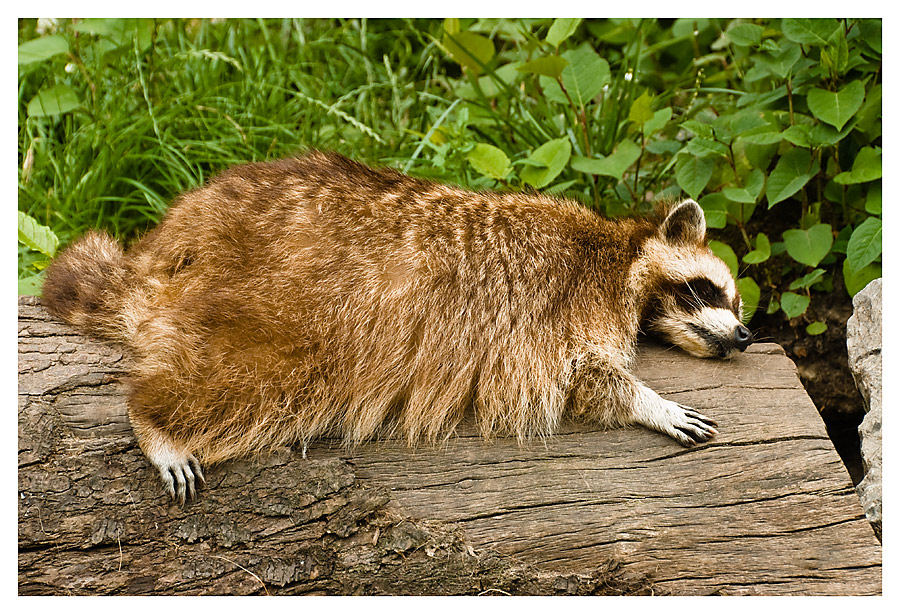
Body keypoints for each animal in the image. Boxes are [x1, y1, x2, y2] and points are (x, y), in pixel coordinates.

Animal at [44, 150, 752, 506]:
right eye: (712, 289)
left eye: (741, 306)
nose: (745, 336)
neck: (620, 254)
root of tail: (180, 236)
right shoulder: (562, 301)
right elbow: (583, 377)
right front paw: (650, 403)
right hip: (290, 311)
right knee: (251, 379)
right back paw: (155, 418)